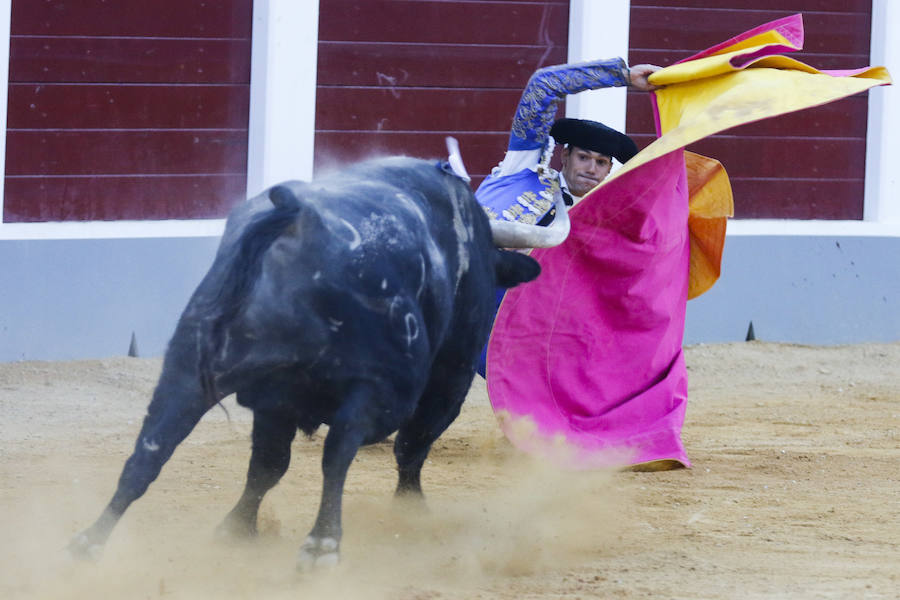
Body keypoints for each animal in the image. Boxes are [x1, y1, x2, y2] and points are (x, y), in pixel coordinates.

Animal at [68, 157, 540, 568]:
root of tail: (299, 221)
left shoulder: (274, 401)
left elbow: (268, 466)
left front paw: (236, 529)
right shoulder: (445, 378)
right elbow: (409, 445)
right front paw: (409, 509)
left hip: (188, 366)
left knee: (151, 449)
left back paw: (89, 543)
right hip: (380, 385)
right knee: (342, 451)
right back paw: (322, 545)